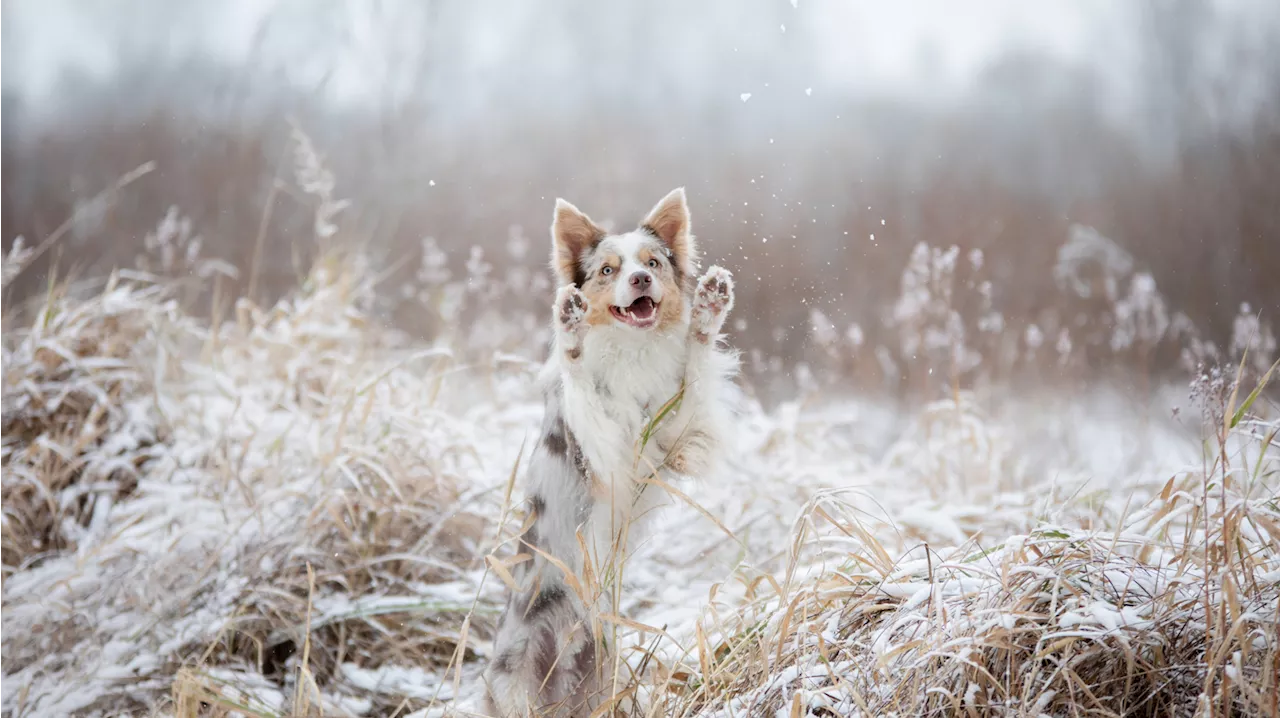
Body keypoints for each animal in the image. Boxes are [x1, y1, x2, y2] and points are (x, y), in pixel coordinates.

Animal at [481, 188, 742, 711]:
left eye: (653, 262)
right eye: (608, 270)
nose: (640, 279)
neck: (631, 350)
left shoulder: (675, 436)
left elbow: (696, 374)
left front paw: (707, 311)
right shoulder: (599, 453)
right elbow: (582, 382)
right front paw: (572, 330)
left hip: (609, 679)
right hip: (515, 683)